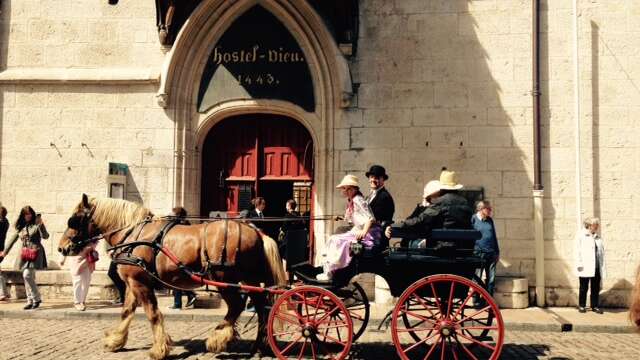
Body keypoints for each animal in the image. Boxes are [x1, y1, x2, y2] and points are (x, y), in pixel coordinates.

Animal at [58, 195, 286, 358]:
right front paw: (116, 341)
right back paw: (259, 346)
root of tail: (257, 232)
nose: (61, 247)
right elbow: (126, 312)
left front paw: (159, 349)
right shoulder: (132, 282)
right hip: (249, 279)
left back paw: (217, 338)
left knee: (237, 306)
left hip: (224, 279)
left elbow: (152, 314)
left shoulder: (140, 282)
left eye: (74, 220)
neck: (133, 234)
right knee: (262, 306)